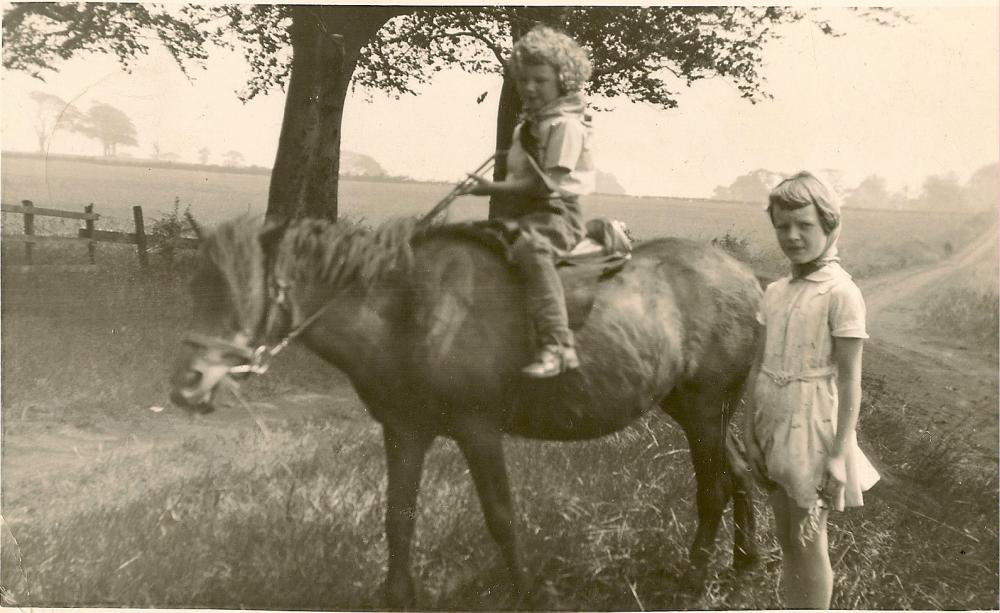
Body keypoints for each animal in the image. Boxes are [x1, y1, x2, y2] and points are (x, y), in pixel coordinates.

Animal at [168, 216, 760, 608]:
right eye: (194, 287)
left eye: (239, 292)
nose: (184, 387)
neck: (408, 312)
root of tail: (749, 278)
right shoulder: (404, 432)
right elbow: (398, 518)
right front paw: (397, 596)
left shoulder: (479, 431)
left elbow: (501, 516)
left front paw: (526, 594)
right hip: (698, 409)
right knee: (739, 475)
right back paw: (744, 563)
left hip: (704, 407)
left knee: (714, 486)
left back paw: (694, 579)